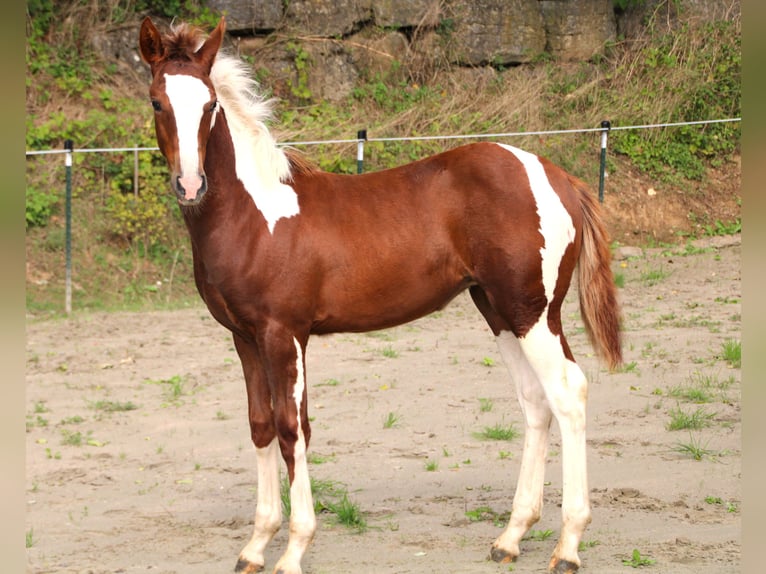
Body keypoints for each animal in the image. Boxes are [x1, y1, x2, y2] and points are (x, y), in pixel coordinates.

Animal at [140, 18, 624, 574]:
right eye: (158, 102)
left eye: (210, 104)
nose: (190, 184)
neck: (253, 213)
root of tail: (559, 177)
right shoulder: (245, 338)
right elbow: (261, 426)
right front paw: (256, 546)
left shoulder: (285, 334)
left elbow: (292, 428)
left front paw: (294, 549)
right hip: (500, 312)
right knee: (534, 401)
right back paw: (511, 536)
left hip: (534, 313)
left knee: (567, 392)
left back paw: (568, 545)